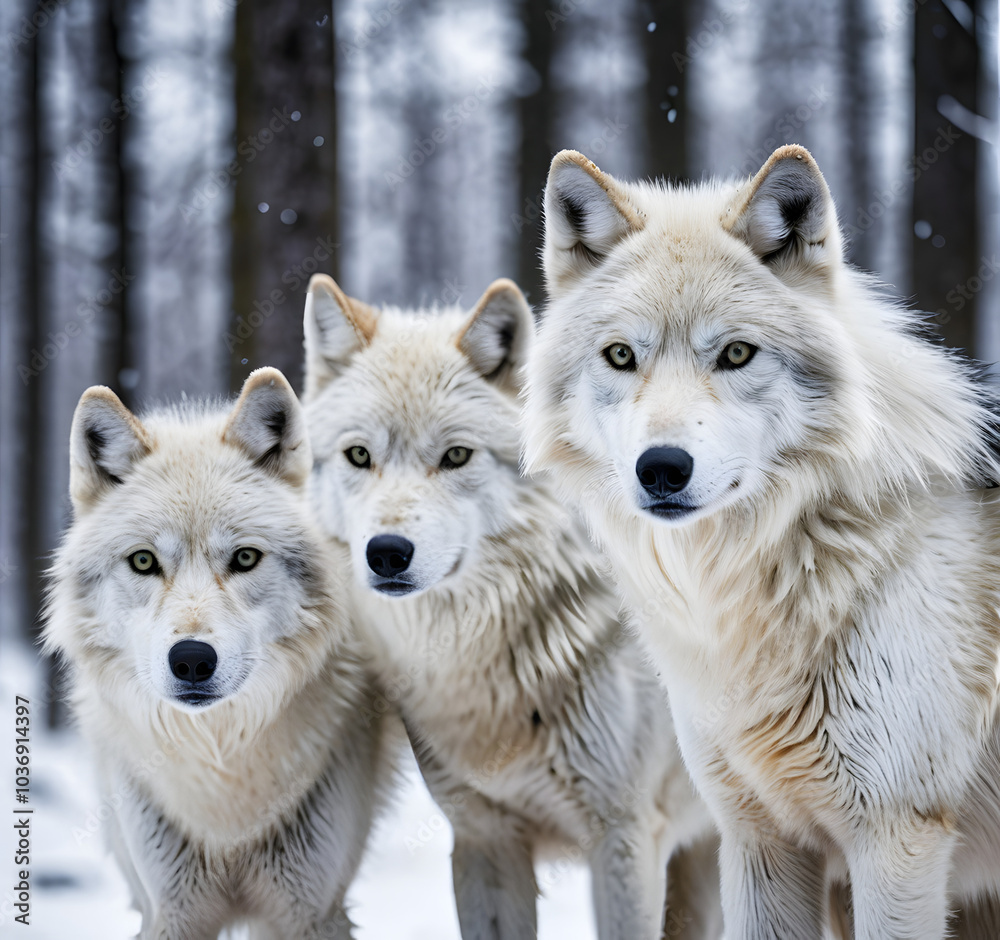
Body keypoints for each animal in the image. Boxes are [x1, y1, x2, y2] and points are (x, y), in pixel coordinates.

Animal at [44, 368, 390, 940]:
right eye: (144, 561)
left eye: (245, 558)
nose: (190, 660)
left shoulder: (313, 911)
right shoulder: (169, 911)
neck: (221, 763)